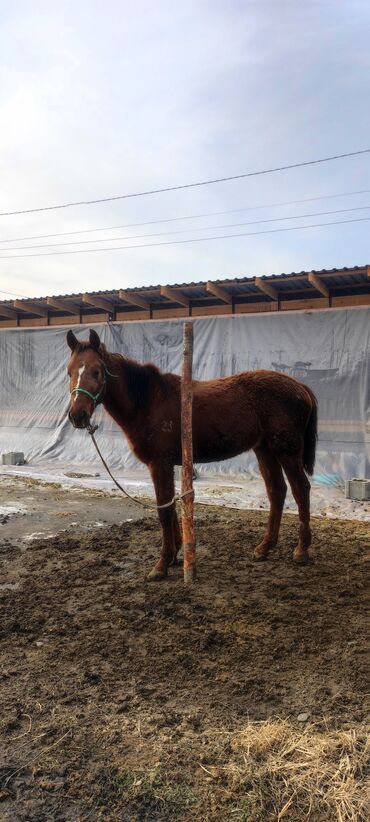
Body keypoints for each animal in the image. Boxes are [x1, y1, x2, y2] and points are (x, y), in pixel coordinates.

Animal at [66, 328, 318, 580]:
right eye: (69, 371)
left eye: (96, 371)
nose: (77, 415)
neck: (149, 401)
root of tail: (300, 386)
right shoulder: (166, 465)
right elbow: (170, 506)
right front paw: (175, 555)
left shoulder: (160, 464)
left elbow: (164, 509)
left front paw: (162, 564)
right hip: (265, 449)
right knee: (277, 491)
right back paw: (265, 547)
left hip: (286, 450)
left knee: (300, 489)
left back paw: (302, 550)